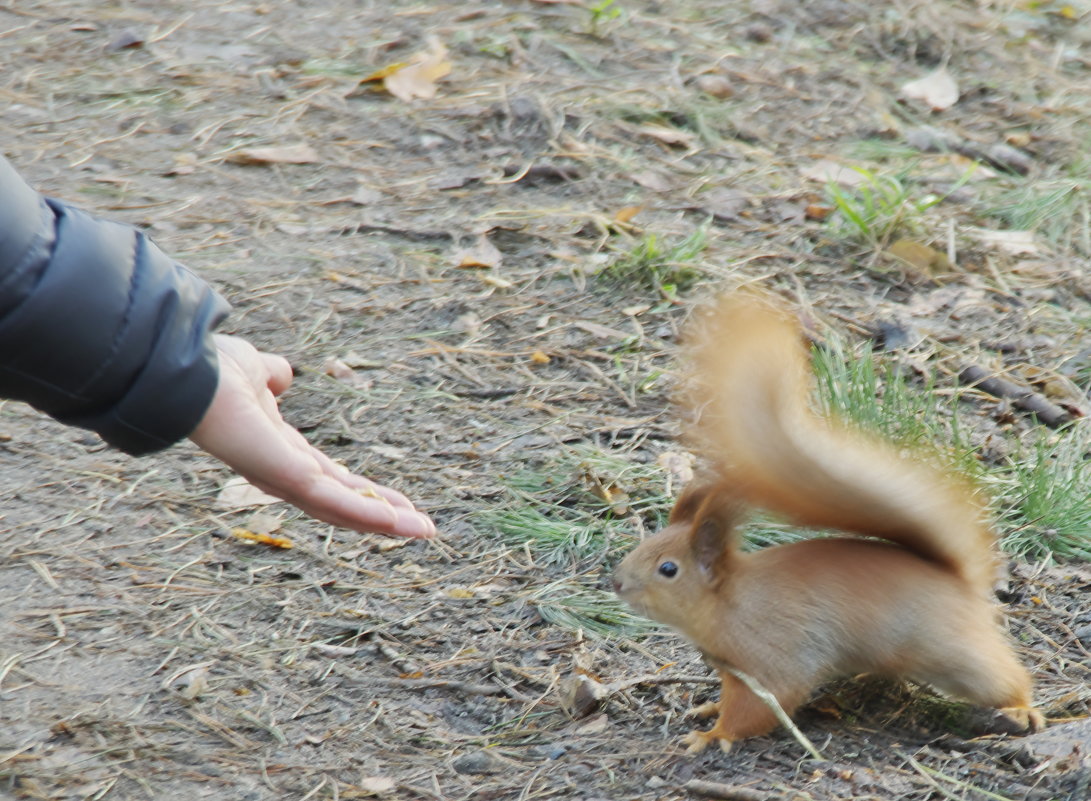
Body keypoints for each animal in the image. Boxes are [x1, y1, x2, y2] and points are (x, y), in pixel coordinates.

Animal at [615, 292, 1047, 755]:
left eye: (668, 569)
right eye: (644, 546)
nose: (616, 583)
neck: (729, 600)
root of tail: (961, 581)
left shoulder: (774, 654)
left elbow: (763, 703)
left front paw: (715, 734)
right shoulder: (734, 667)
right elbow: (731, 696)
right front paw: (710, 709)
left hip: (953, 653)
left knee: (1002, 676)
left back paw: (1023, 708)